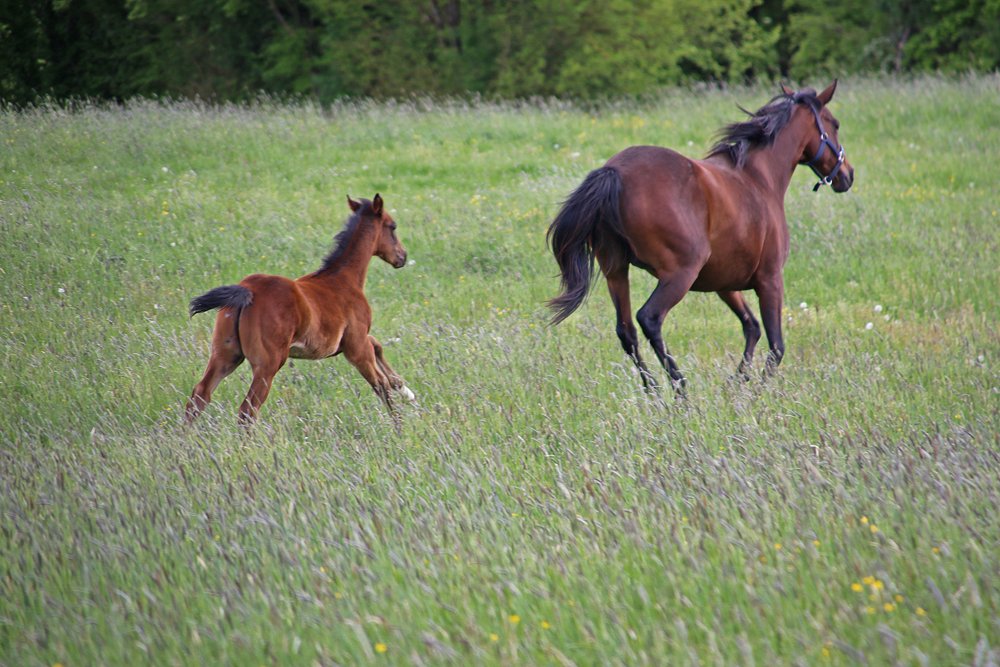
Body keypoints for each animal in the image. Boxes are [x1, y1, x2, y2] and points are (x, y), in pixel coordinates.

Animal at [185, 194, 414, 425]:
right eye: (392, 226)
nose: (402, 257)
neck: (344, 279)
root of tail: (247, 290)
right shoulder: (356, 346)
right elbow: (380, 383)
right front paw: (399, 424)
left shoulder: (350, 343)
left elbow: (377, 346)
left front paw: (404, 388)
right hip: (268, 365)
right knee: (247, 411)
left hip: (225, 355)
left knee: (199, 396)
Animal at [547, 81, 854, 393]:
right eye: (835, 124)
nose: (847, 175)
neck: (758, 178)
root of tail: (613, 172)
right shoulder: (770, 279)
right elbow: (776, 345)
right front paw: (757, 392)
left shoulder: (724, 283)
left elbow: (751, 327)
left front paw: (737, 384)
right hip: (680, 274)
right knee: (649, 319)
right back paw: (680, 388)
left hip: (616, 271)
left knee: (627, 331)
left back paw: (653, 391)